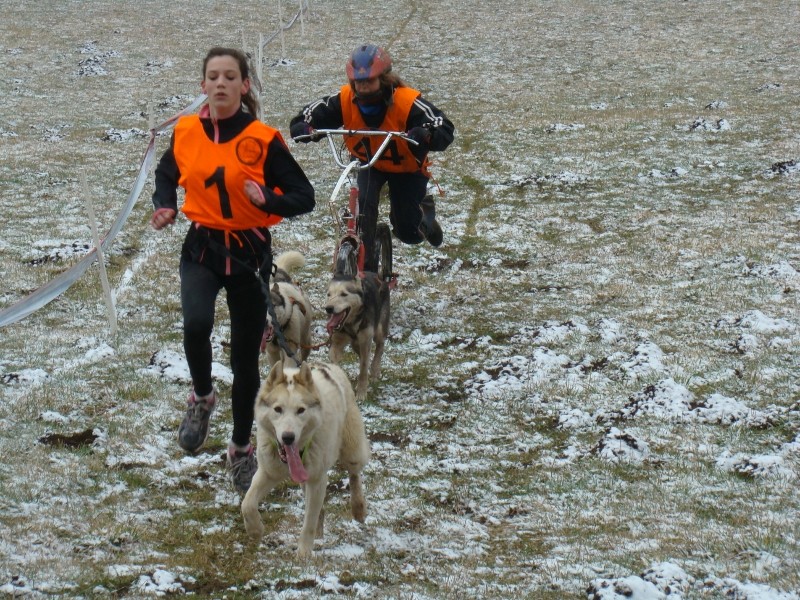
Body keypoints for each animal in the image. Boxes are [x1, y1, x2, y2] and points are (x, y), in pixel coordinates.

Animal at [241, 356, 372, 556]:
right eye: (278, 409)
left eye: (301, 410)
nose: (288, 437)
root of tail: (328, 365)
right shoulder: (268, 473)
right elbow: (247, 504)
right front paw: (255, 530)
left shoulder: (318, 479)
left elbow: (308, 521)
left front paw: (303, 555)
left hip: (352, 450)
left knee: (354, 474)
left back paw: (358, 508)